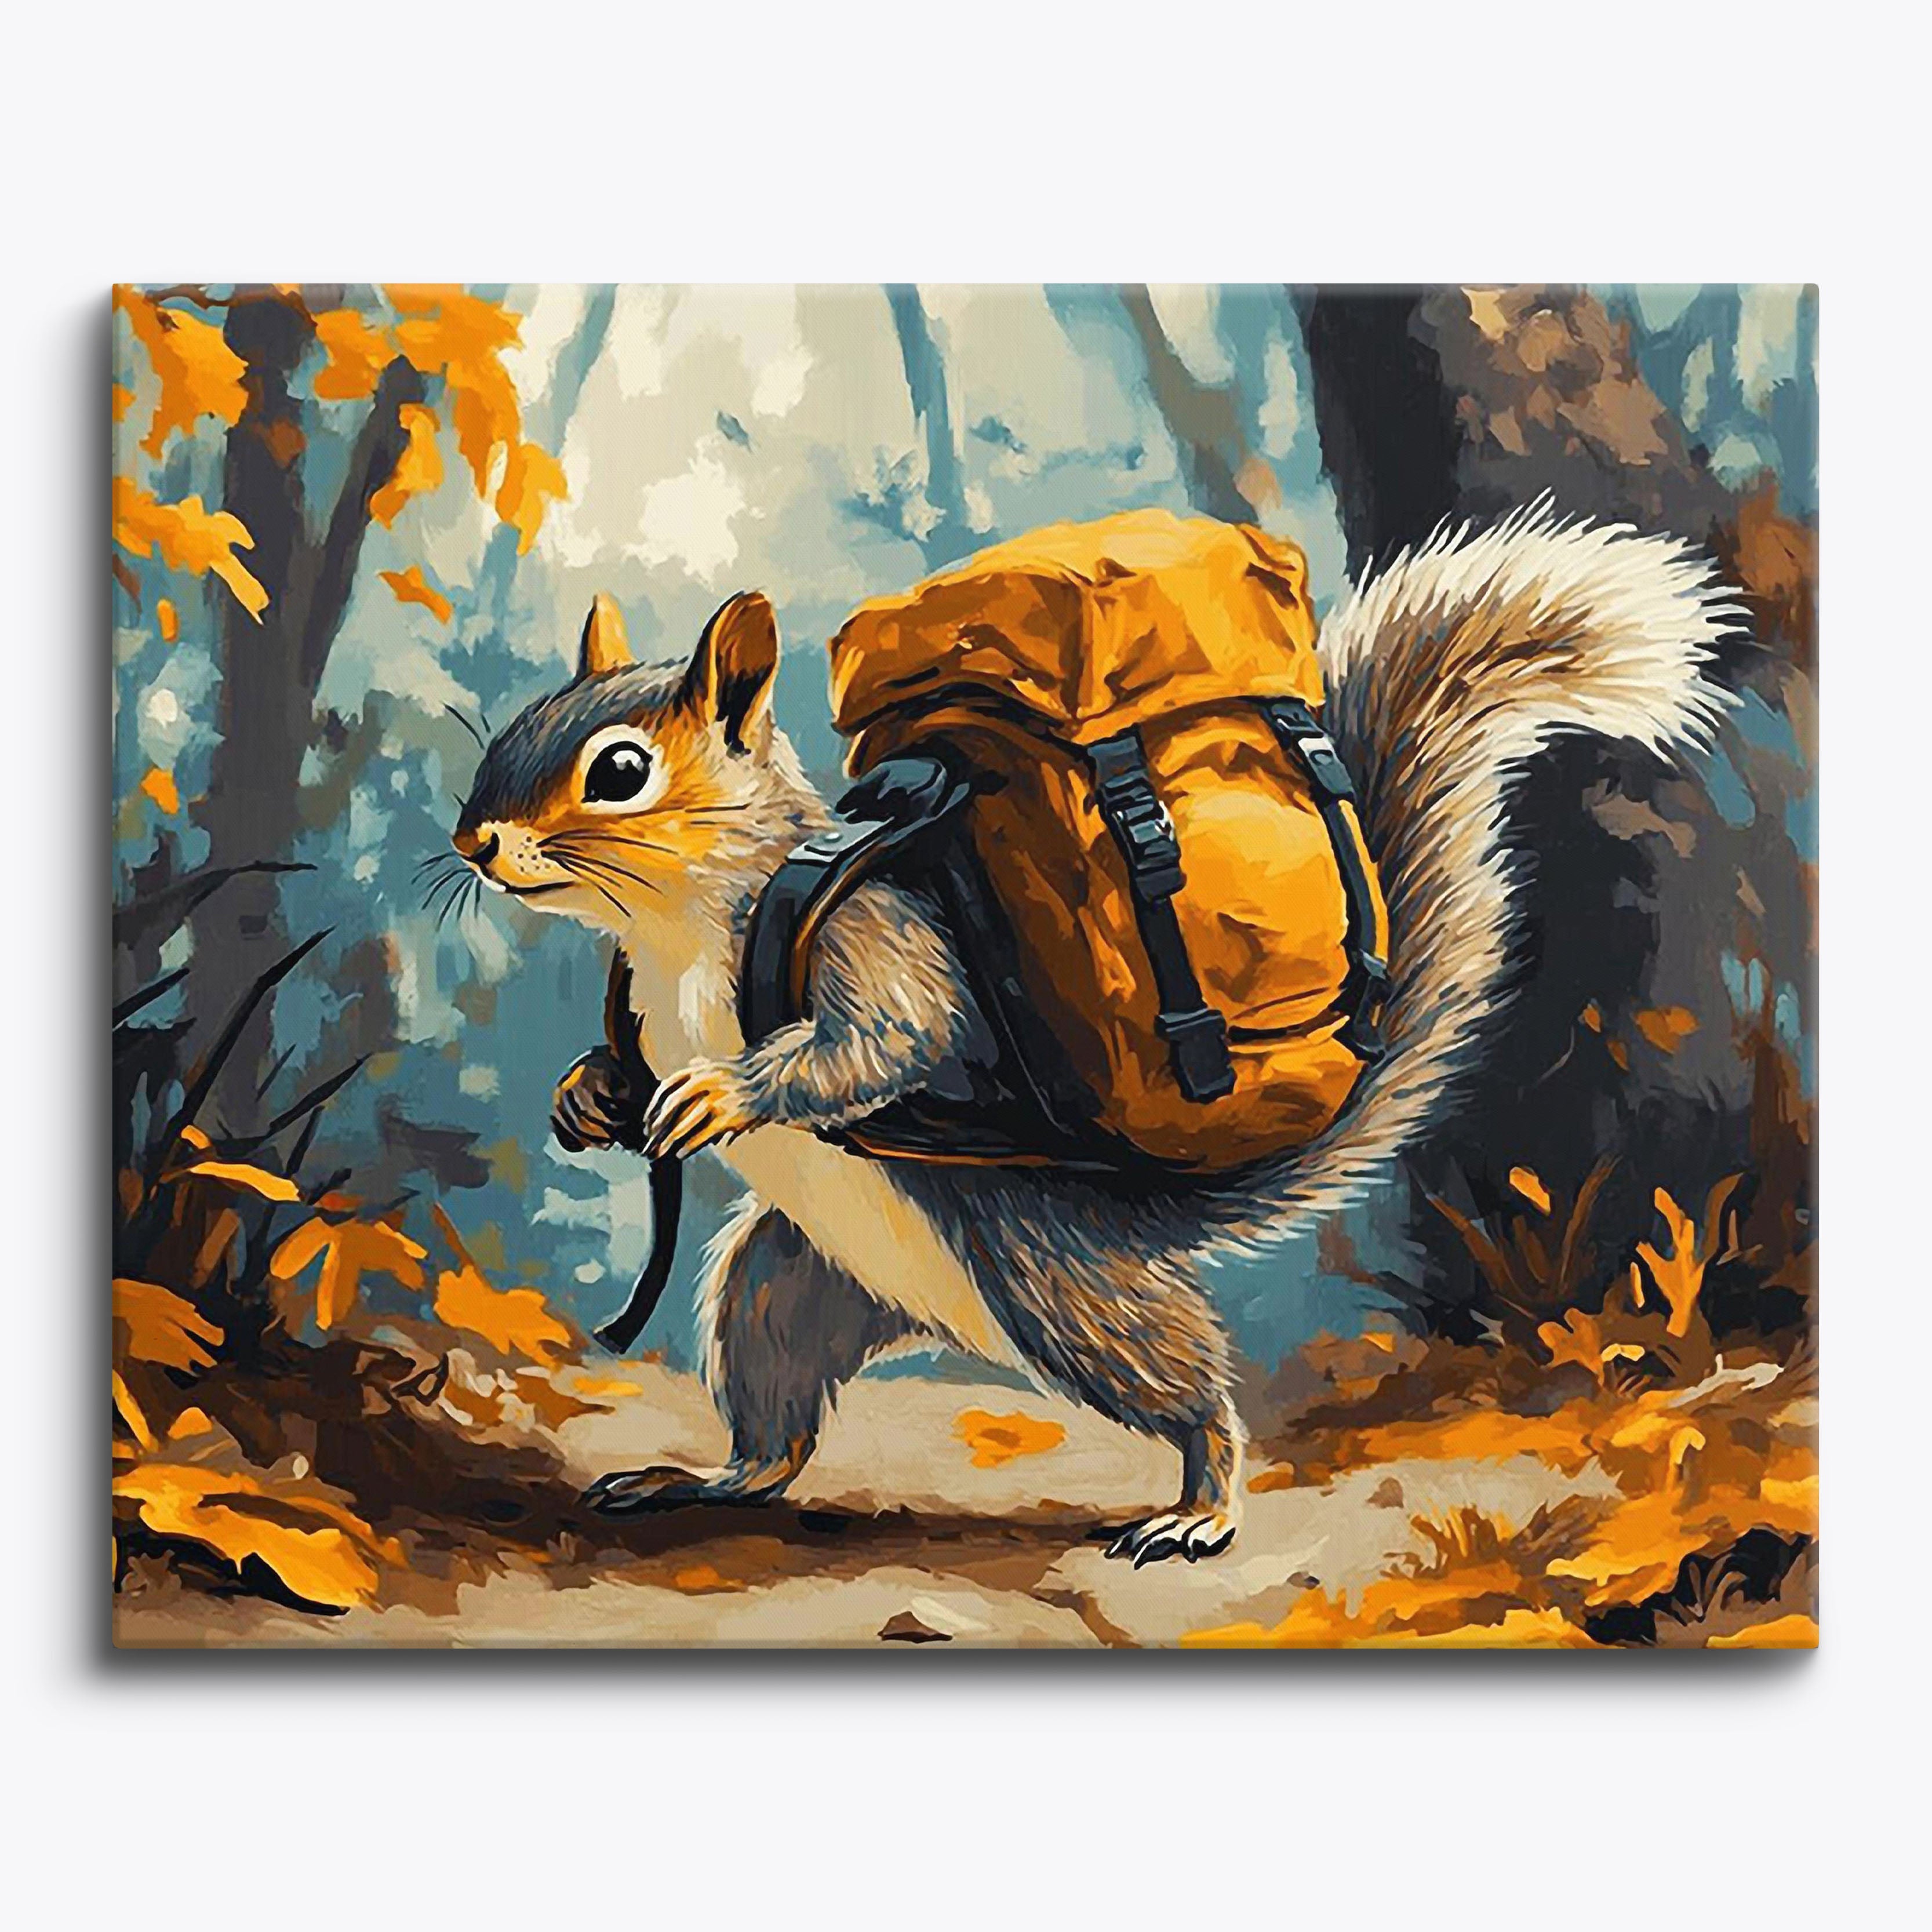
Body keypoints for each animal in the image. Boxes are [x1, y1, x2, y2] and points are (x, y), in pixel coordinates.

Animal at [451, 505, 1734, 1565]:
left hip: (1057, 1284)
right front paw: (587, 1099)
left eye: (620, 769)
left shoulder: (872, 930)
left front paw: (725, 1090)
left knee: (1182, 1385)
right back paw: (701, 1478)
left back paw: (1202, 1504)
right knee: (773, 1418)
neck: (666, 932)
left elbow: (894, 1035)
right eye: (512, 729)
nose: (473, 843)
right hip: (788, 1282)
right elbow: (626, 1071)